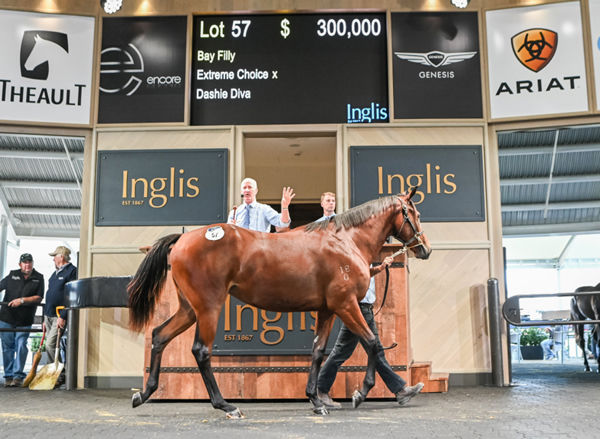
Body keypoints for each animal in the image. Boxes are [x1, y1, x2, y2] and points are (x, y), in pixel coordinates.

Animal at [126, 189, 432, 420]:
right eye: (415, 214)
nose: (425, 249)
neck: (345, 240)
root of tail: (183, 238)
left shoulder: (327, 309)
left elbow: (318, 351)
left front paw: (316, 401)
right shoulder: (345, 305)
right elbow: (371, 342)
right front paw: (360, 393)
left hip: (189, 309)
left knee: (159, 335)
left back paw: (144, 394)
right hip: (208, 308)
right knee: (201, 351)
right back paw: (227, 406)